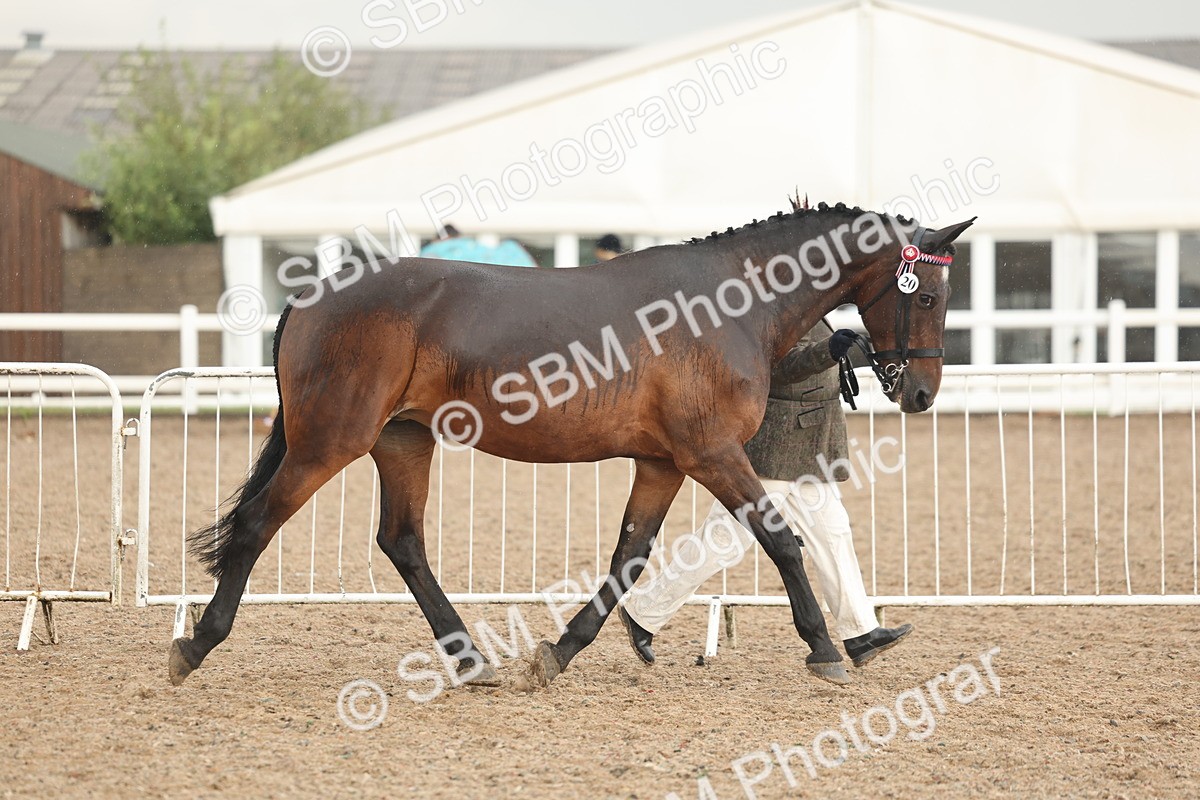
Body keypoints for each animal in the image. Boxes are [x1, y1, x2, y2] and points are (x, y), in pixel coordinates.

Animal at [167, 200, 974, 689]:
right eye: (931, 296)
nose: (920, 393)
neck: (729, 303)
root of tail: (314, 294)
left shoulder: (663, 462)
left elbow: (630, 557)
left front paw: (559, 653)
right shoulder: (711, 453)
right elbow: (781, 540)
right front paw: (824, 648)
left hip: (401, 442)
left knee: (402, 542)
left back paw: (471, 662)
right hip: (329, 440)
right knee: (257, 524)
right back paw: (194, 644)